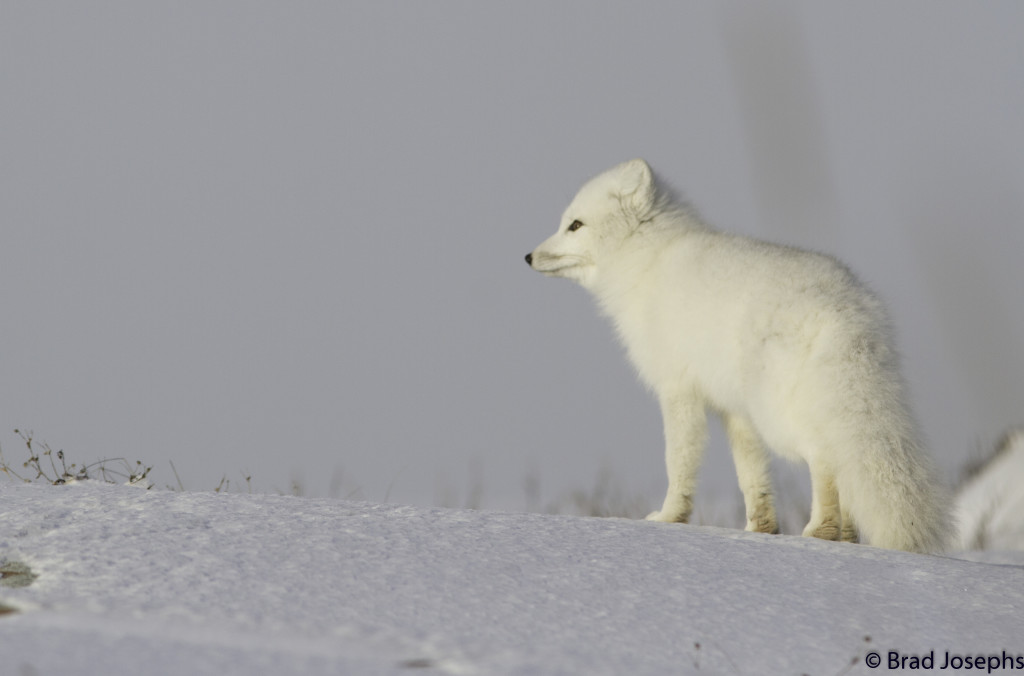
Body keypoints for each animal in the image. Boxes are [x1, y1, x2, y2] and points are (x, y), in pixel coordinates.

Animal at [528, 159, 950, 553]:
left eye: (575, 225)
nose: (528, 257)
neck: (650, 263)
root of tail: (844, 309)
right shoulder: (733, 410)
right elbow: (751, 473)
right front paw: (758, 530)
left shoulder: (677, 390)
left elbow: (678, 462)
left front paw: (668, 518)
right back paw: (846, 537)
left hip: (780, 415)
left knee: (825, 458)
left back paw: (823, 531)